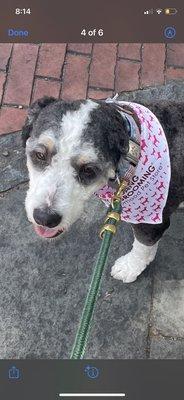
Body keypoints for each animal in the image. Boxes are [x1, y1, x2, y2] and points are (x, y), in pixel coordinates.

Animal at [22, 96, 184, 284]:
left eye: (88, 170)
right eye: (40, 155)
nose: (45, 218)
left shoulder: (152, 223)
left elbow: (143, 246)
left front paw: (130, 267)